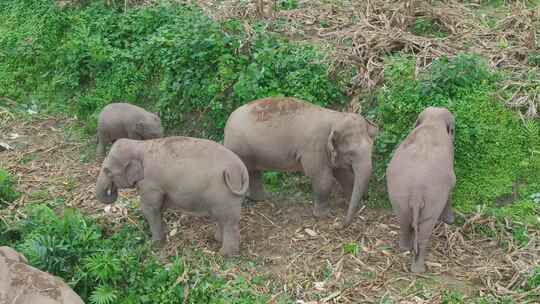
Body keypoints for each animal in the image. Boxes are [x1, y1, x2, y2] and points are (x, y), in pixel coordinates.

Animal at [95, 137, 249, 255]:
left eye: (108, 171)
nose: (111, 190)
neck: (139, 144)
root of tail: (242, 169)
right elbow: (159, 208)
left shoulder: (150, 184)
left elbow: (149, 209)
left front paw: (155, 244)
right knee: (222, 219)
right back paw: (217, 240)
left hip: (226, 193)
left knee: (229, 222)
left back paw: (226, 255)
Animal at [221, 96, 378, 227]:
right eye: (351, 153)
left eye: (372, 149)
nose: (340, 225)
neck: (336, 117)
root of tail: (229, 119)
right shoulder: (314, 148)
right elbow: (322, 178)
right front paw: (323, 215)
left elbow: (343, 175)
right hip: (237, 147)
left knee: (254, 171)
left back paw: (259, 200)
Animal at [386, 106, 458, 274]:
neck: (432, 121)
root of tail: (416, 190)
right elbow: (452, 184)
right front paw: (450, 221)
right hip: (433, 198)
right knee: (425, 228)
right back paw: (419, 268)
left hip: (398, 193)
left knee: (404, 221)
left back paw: (404, 248)